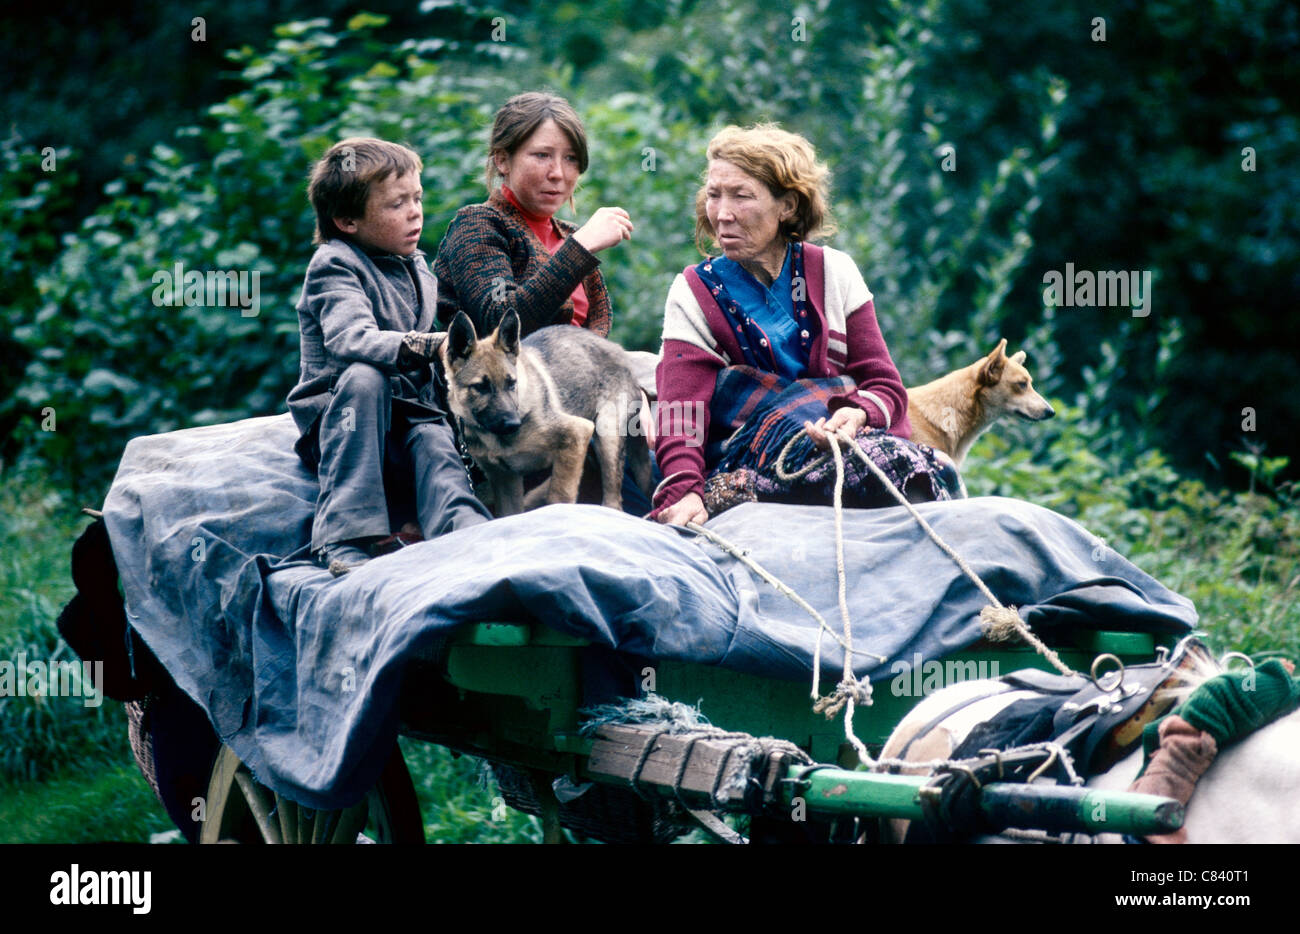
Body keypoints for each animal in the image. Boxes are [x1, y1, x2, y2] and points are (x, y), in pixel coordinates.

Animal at [441, 312, 655, 520]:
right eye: (480, 387)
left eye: (512, 383)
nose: (514, 424)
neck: (496, 440)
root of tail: (621, 352)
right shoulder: (504, 479)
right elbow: (508, 515)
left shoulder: (577, 434)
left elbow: (559, 496)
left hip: (607, 434)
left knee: (613, 500)